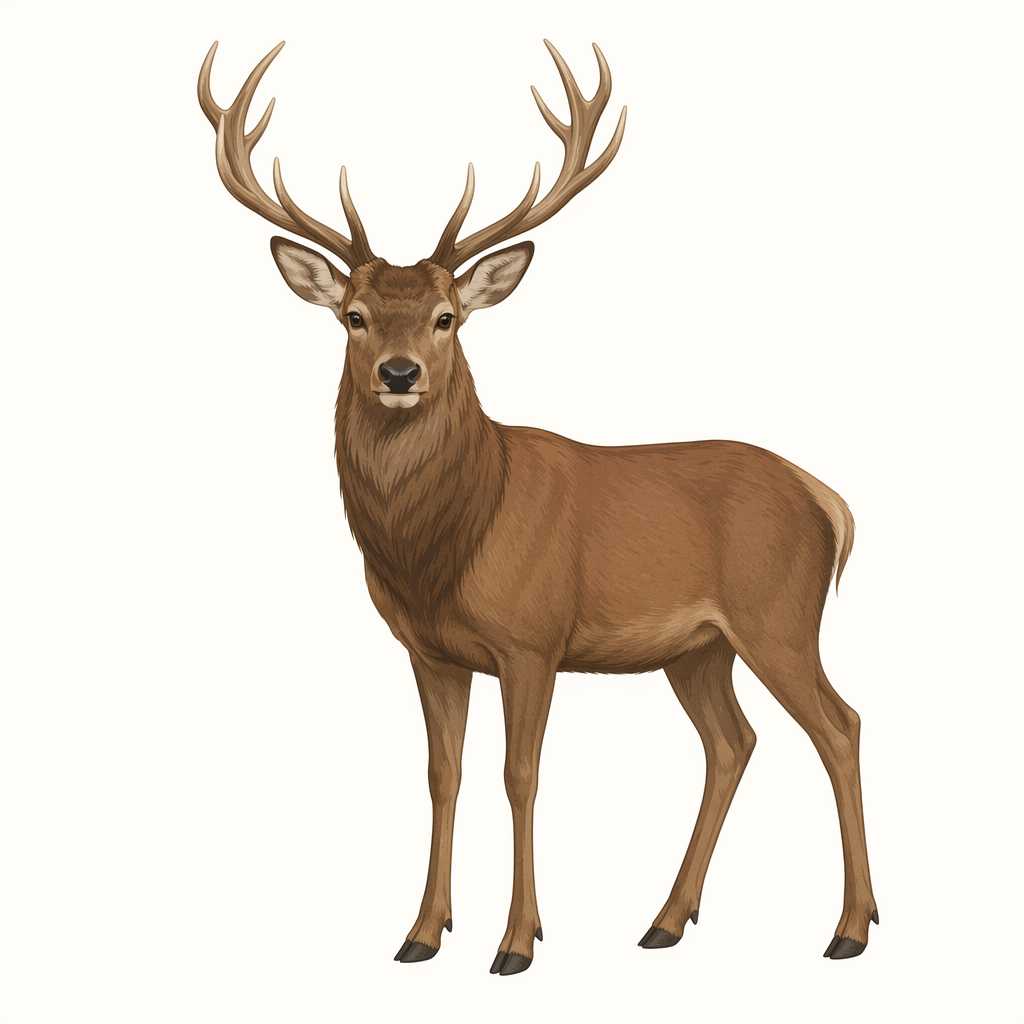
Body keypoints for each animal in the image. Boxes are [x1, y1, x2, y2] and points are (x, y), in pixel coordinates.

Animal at [198, 39, 878, 975]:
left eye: (447, 317)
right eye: (354, 316)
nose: (400, 373)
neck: (445, 545)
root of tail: (829, 500)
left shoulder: (533, 637)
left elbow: (520, 776)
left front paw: (518, 942)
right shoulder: (429, 650)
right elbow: (441, 775)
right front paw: (421, 933)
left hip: (778, 615)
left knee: (841, 726)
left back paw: (849, 928)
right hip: (698, 648)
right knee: (732, 743)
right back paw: (665, 920)